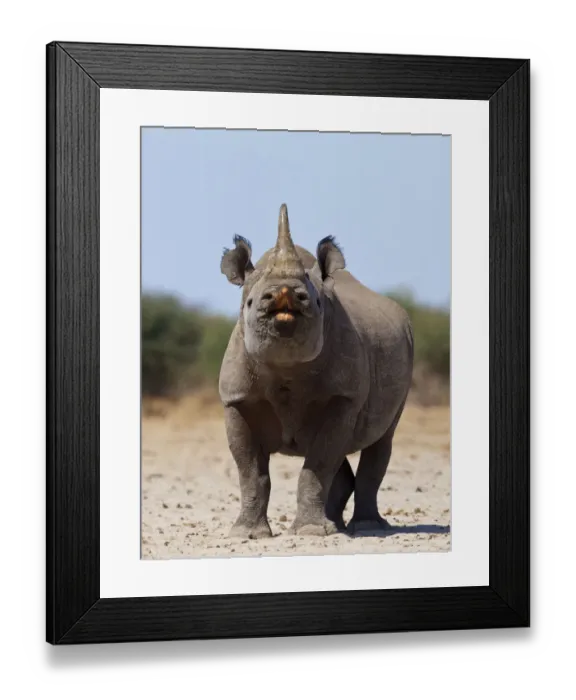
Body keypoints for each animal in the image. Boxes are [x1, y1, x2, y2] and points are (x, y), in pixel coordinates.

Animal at [218, 203, 414, 538]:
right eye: (250, 302)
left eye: (319, 302)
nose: (286, 295)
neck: (285, 366)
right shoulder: (237, 399)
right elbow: (250, 471)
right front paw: (246, 534)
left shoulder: (343, 396)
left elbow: (319, 463)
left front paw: (310, 532)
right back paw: (336, 525)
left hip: (406, 347)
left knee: (380, 440)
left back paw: (363, 527)